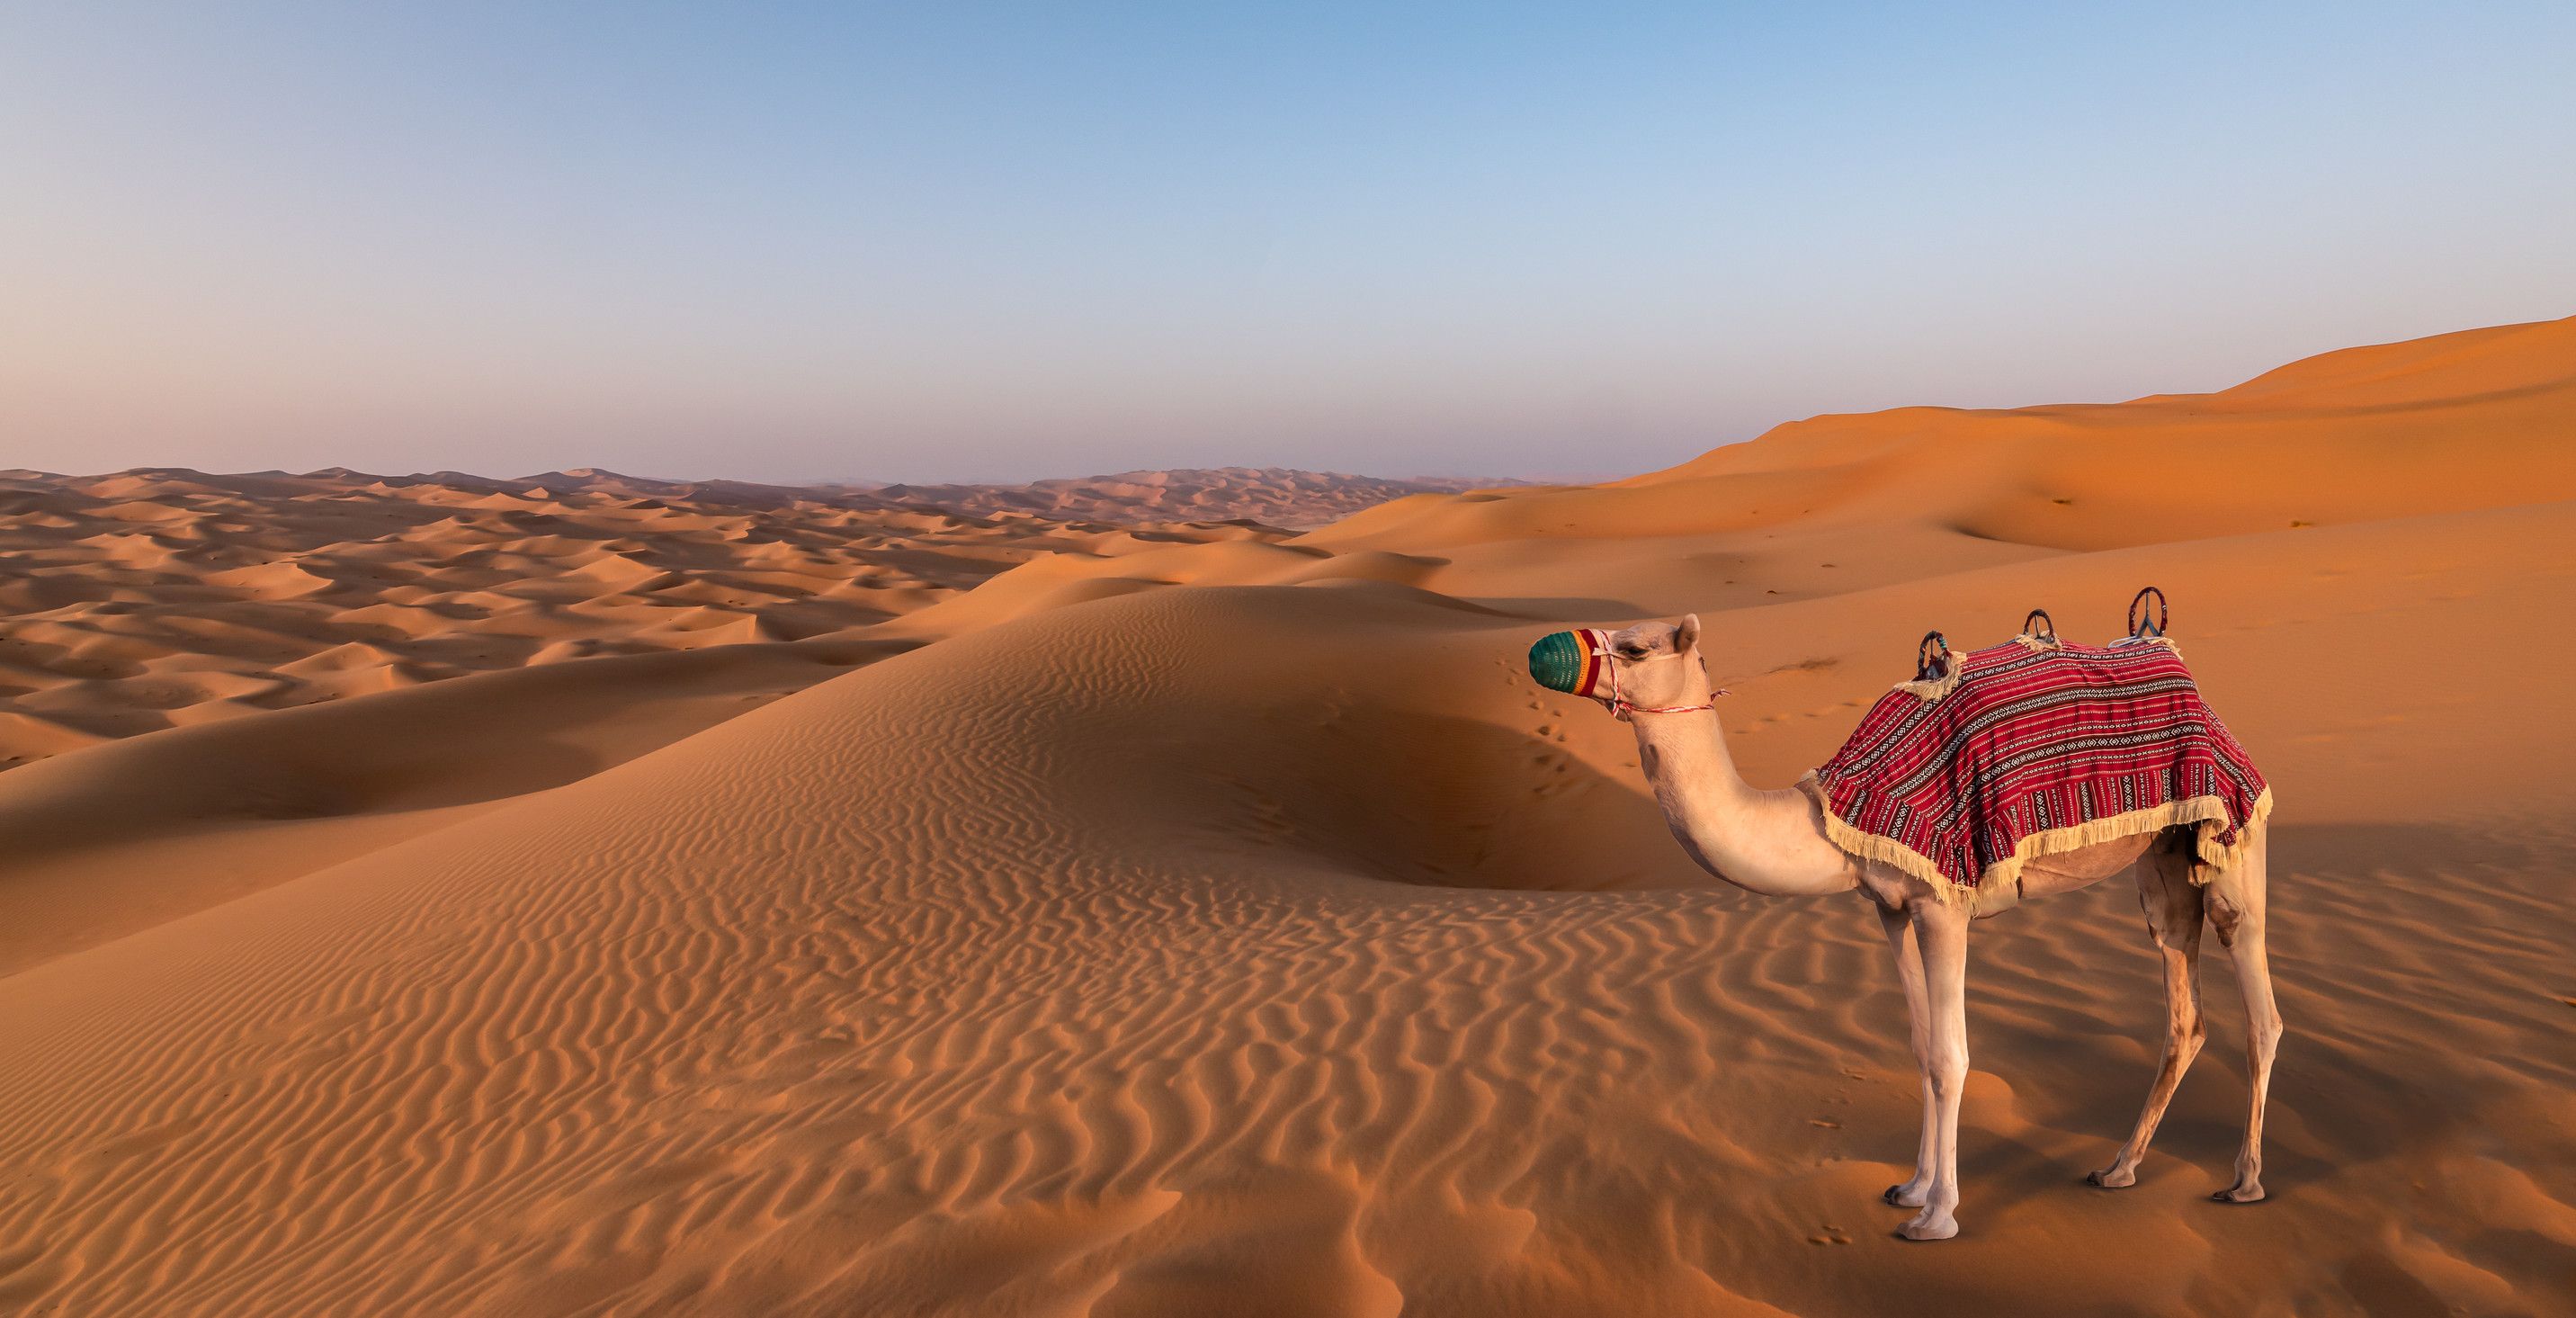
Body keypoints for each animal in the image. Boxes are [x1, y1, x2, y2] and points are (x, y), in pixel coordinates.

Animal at [1561, 614, 2280, 1242]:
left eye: (1636, 648)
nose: (1560, 650)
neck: (1835, 818)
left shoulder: (1943, 904)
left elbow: (1949, 1054)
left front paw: (1936, 1216)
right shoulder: (1891, 907)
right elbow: (1920, 1046)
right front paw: (1910, 1187)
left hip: (2234, 833)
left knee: (2257, 999)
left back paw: (2244, 1182)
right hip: (2164, 861)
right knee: (2183, 1007)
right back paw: (2118, 1168)